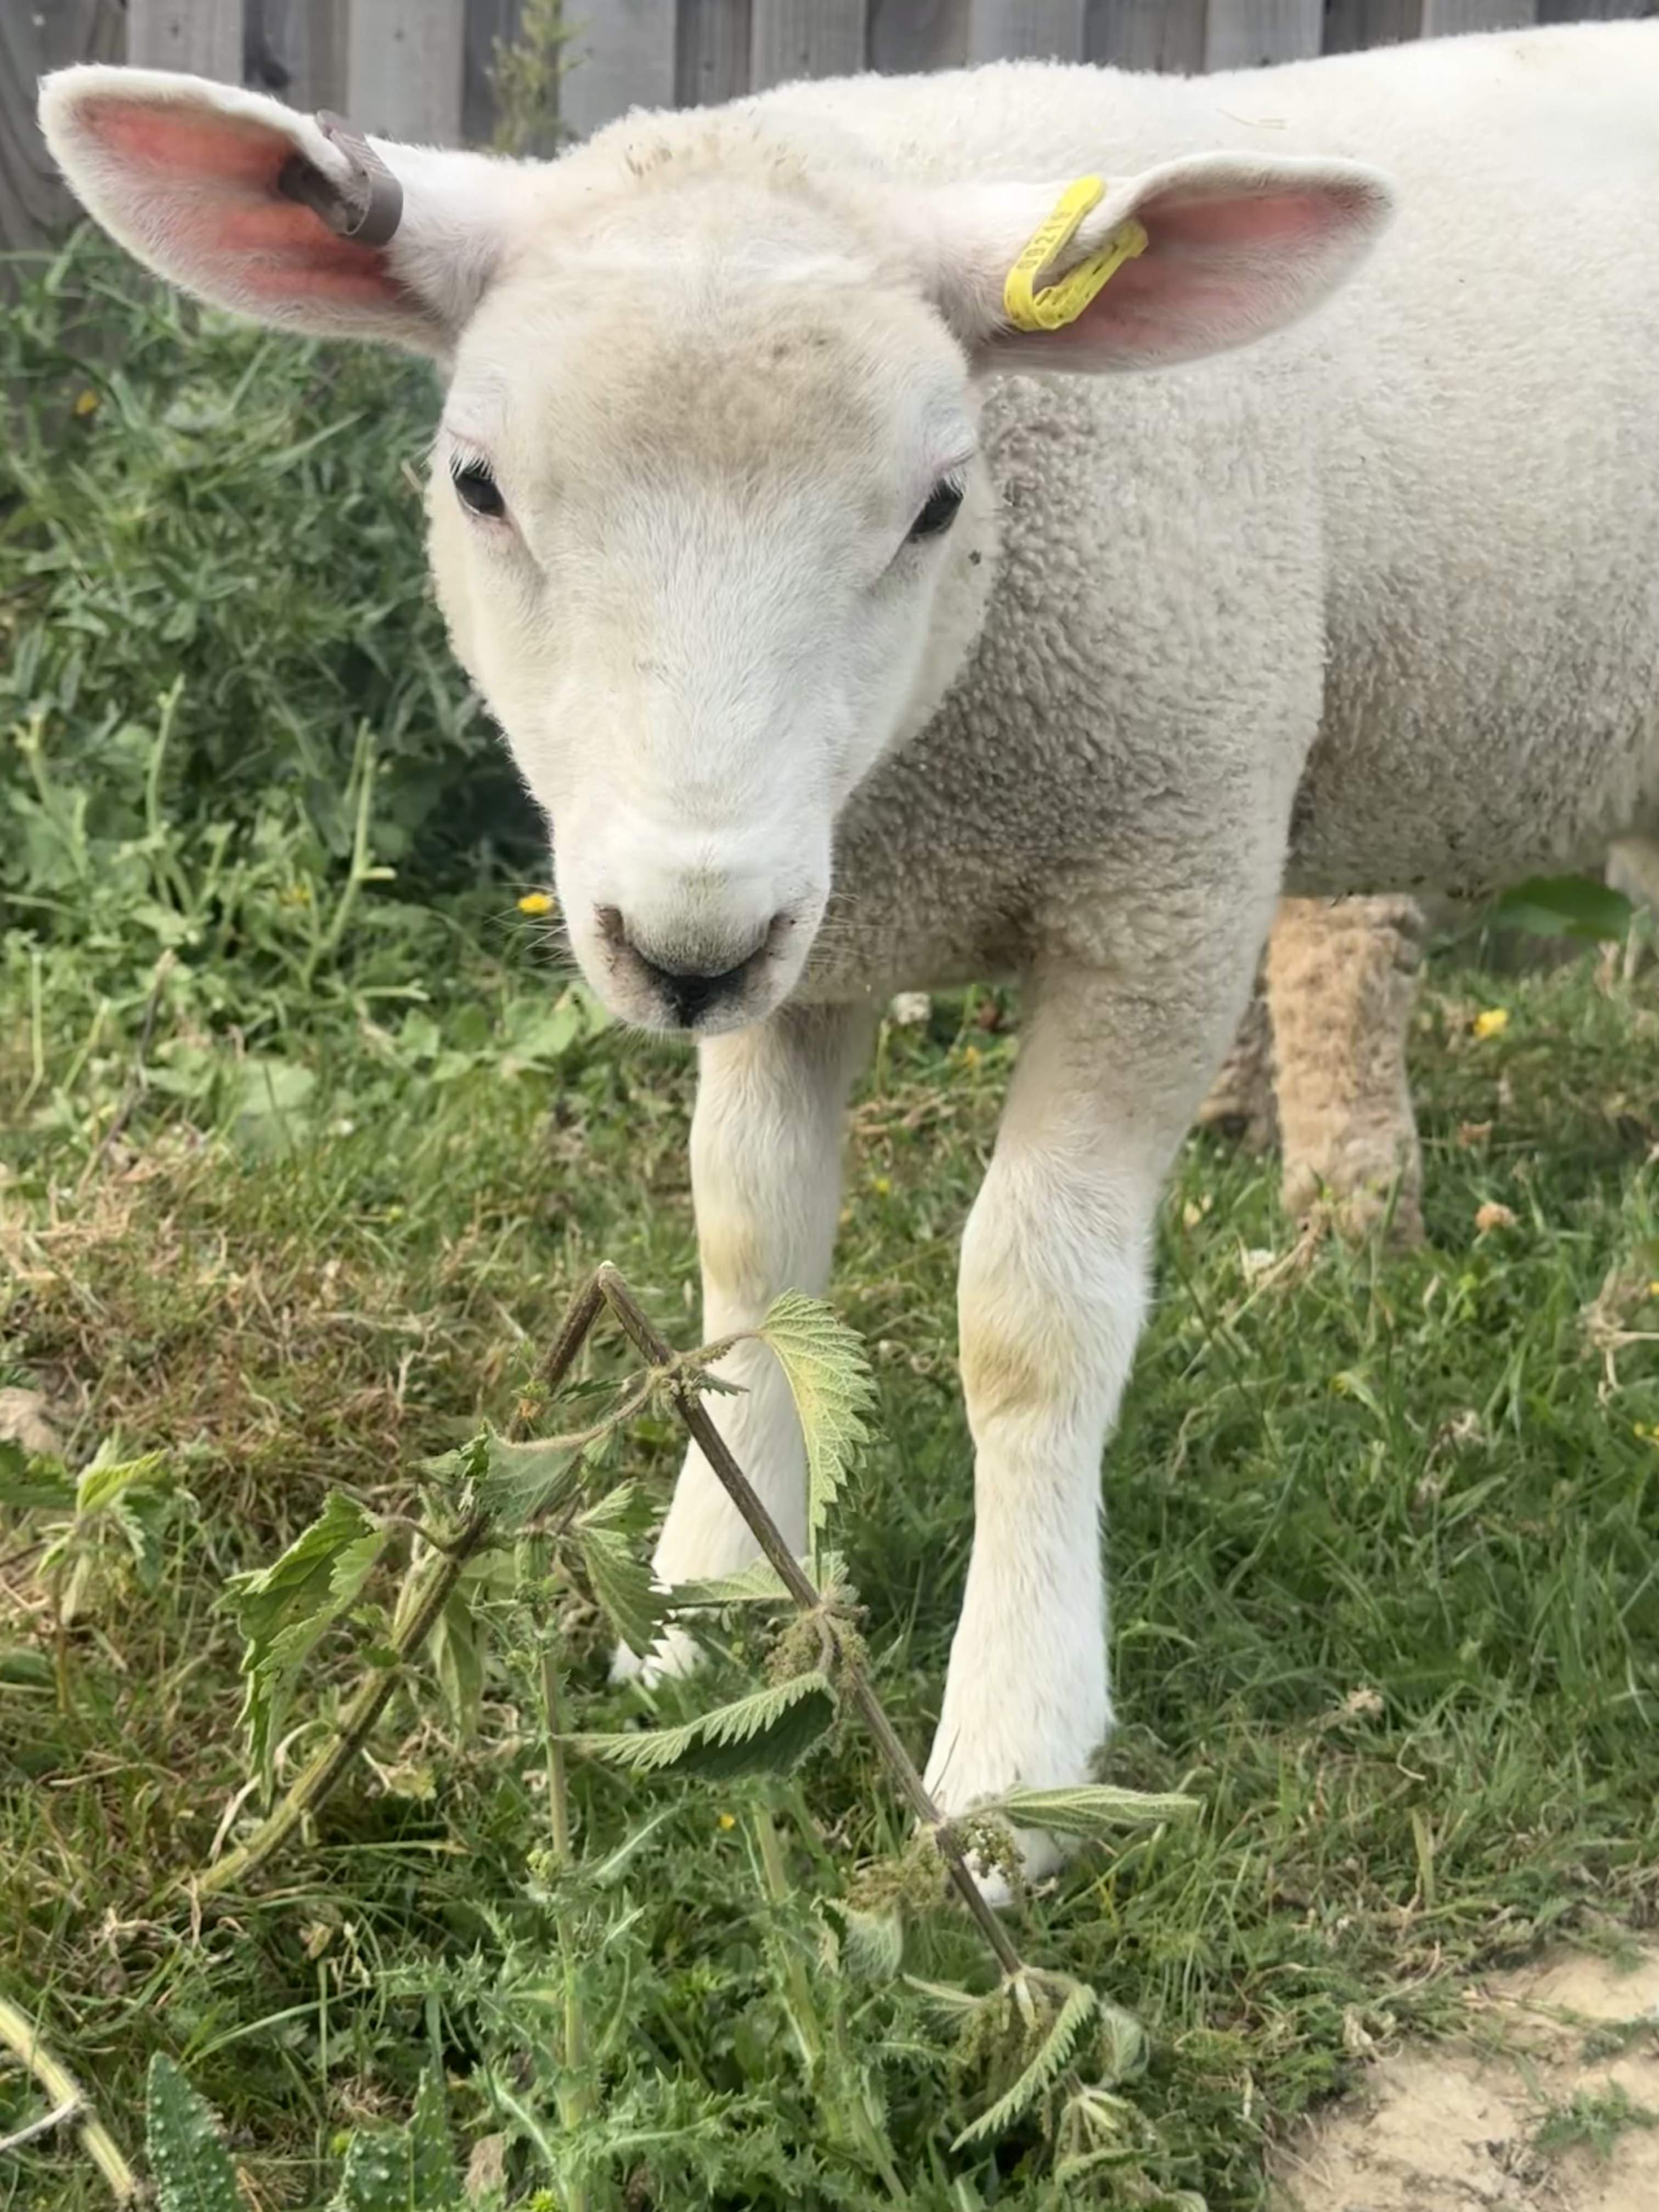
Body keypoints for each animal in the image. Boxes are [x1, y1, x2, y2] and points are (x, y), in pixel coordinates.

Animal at [40, 22, 1659, 1877]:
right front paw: (707, 1600)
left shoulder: (1163, 887)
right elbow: (748, 1246)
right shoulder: (813, 931)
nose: (682, 946)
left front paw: (1015, 1755)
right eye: (478, 486)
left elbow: (1032, 1317)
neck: (916, 767)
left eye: (941, 502)